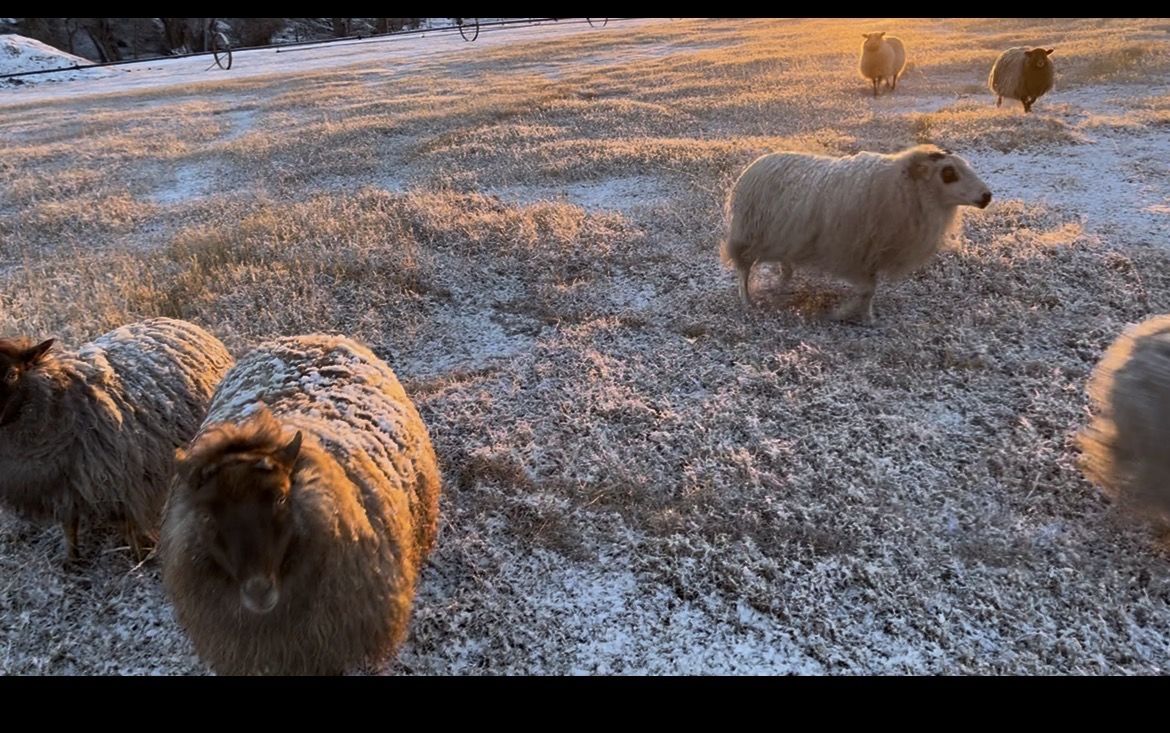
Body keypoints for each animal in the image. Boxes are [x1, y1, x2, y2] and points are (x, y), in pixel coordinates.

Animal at [0, 318, 233, 562]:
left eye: (11, 375)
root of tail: (174, 320)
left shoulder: (119, 482)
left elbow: (126, 524)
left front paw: (139, 557)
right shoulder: (58, 488)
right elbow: (69, 525)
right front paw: (72, 560)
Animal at [721, 144, 993, 324]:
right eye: (949, 173)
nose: (987, 196)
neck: (905, 189)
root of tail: (756, 164)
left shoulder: (869, 255)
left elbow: (870, 290)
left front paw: (867, 317)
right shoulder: (851, 253)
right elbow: (866, 289)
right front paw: (841, 313)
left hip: (782, 238)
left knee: (784, 267)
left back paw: (780, 286)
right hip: (749, 235)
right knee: (744, 269)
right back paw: (747, 301)